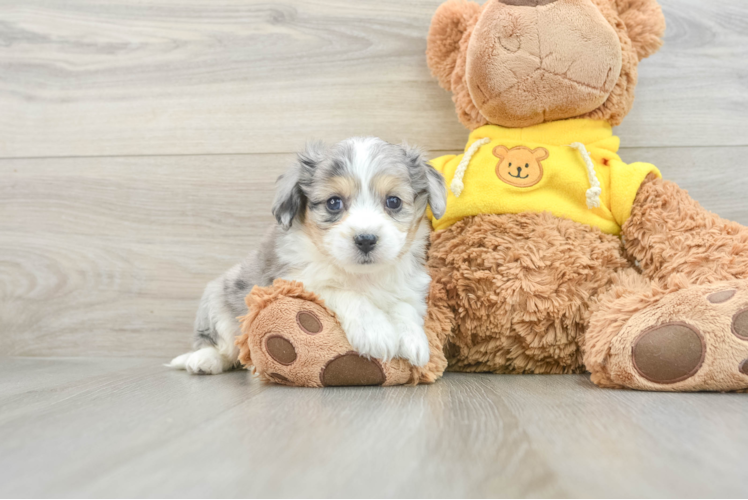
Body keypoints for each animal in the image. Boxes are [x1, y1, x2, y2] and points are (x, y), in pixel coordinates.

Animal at [169, 137, 448, 376]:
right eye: (334, 203)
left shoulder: (409, 284)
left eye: (393, 201)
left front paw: (414, 339)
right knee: (222, 346)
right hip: (217, 298)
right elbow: (347, 294)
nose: (366, 239)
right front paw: (375, 331)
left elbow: (405, 306)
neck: (362, 276)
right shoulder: (297, 281)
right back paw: (203, 360)